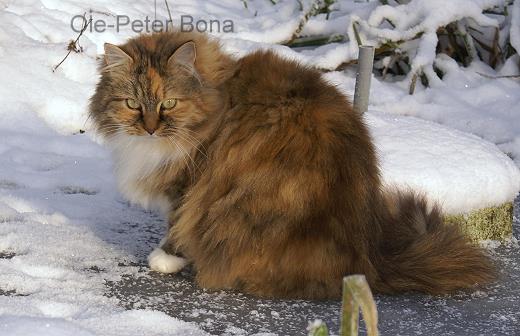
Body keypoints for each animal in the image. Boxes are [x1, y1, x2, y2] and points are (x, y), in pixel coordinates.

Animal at [89, 30, 496, 300]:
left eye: (169, 103)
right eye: (132, 104)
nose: (150, 127)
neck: (218, 101)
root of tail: (366, 261)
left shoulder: (190, 182)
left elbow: (177, 223)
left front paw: (165, 258)